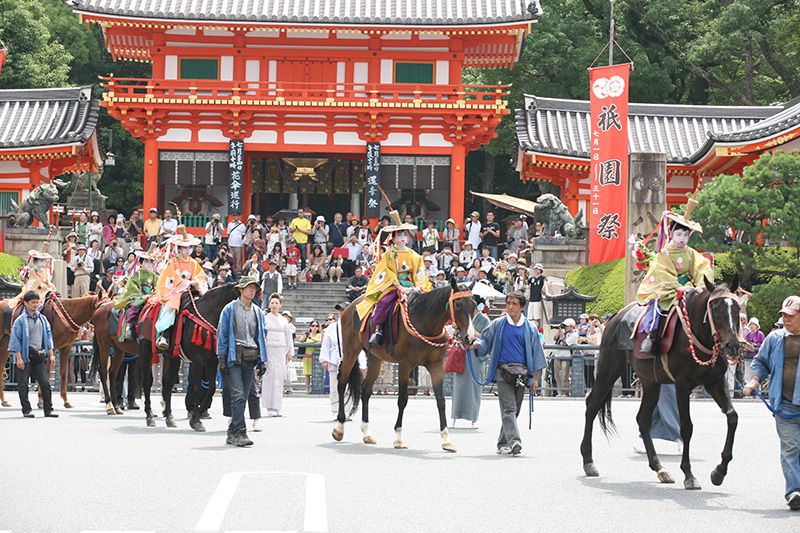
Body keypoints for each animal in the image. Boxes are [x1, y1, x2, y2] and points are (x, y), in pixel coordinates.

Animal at [136, 283, 240, 430]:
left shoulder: (212, 361)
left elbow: (211, 388)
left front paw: (199, 413)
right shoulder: (197, 361)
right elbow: (197, 388)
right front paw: (196, 420)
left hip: (172, 357)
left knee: (167, 384)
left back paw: (169, 417)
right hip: (146, 351)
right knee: (147, 382)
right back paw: (150, 416)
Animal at [332, 278, 477, 452]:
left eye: (474, 305)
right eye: (458, 305)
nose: (470, 338)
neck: (425, 322)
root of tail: (349, 307)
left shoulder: (436, 366)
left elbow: (441, 401)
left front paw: (446, 440)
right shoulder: (405, 364)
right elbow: (402, 399)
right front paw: (399, 438)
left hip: (374, 358)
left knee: (365, 390)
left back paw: (367, 433)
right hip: (350, 352)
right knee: (342, 383)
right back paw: (339, 427)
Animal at [580, 278, 743, 490]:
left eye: (737, 309)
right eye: (715, 309)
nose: (733, 346)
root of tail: (615, 316)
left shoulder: (715, 382)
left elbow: (732, 417)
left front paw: (719, 472)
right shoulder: (683, 385)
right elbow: (686, 427)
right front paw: (689, 474)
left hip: (651, 382)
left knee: (643, 419)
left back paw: (659, 468)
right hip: (609, 368)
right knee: (592, 405)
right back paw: (588, 462)